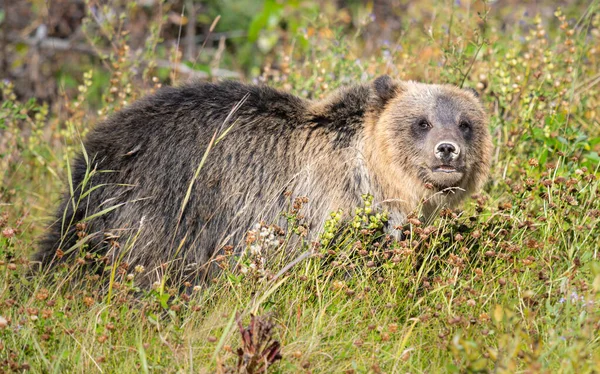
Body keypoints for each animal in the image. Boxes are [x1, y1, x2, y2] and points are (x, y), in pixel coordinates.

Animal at [34, 76, 492, 284]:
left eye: (465, 123)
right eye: (421, 122)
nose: (447, 149)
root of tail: (94, 150)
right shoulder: (325, 207)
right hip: (161, 208)